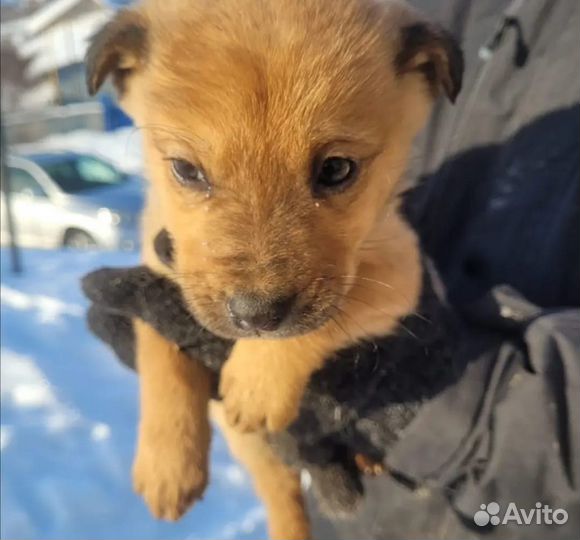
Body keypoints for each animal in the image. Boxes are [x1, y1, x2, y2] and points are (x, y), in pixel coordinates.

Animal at [86, 1, 462, 536]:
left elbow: (333, 315)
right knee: (281, 493)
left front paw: (256, 383)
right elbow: (161, 350)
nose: (255, 316)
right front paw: (167, 465)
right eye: (185, 170)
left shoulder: (399, 268)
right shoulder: (158, 268)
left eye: (337, 169)